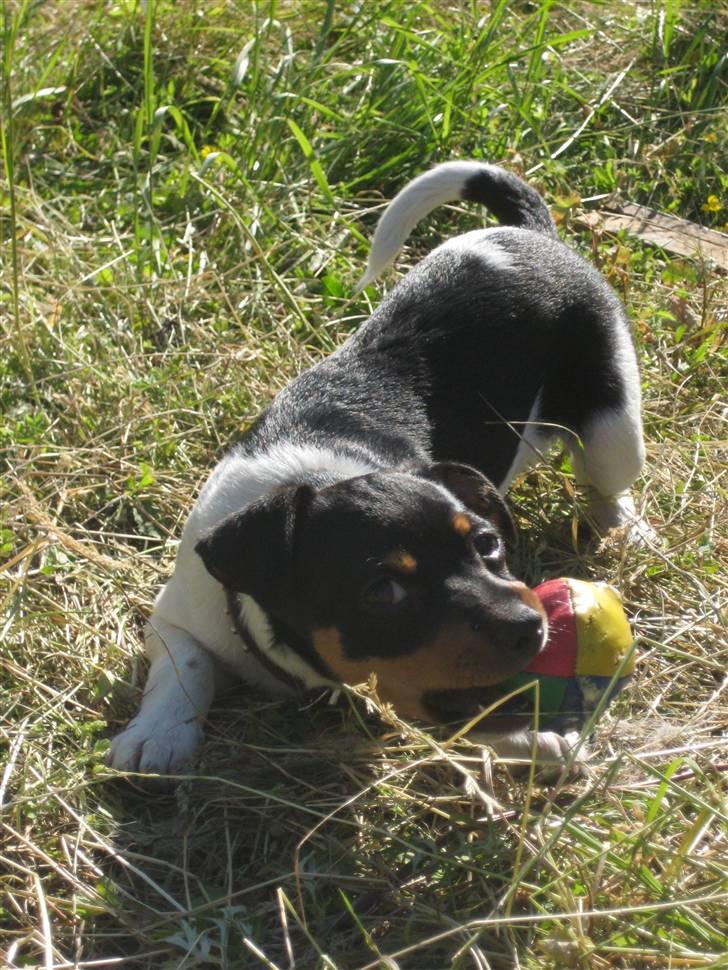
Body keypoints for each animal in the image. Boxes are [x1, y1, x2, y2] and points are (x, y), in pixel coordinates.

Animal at [108, 163, 644, 776]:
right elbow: (186, 670)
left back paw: (624, 528)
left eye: (487, 545)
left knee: (608, 482)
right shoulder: (174, 619)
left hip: (613, 425)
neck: (318, 476)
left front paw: (533, 740)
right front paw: (159, 733)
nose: (531, 626)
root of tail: (529, 233)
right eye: (383, 592)